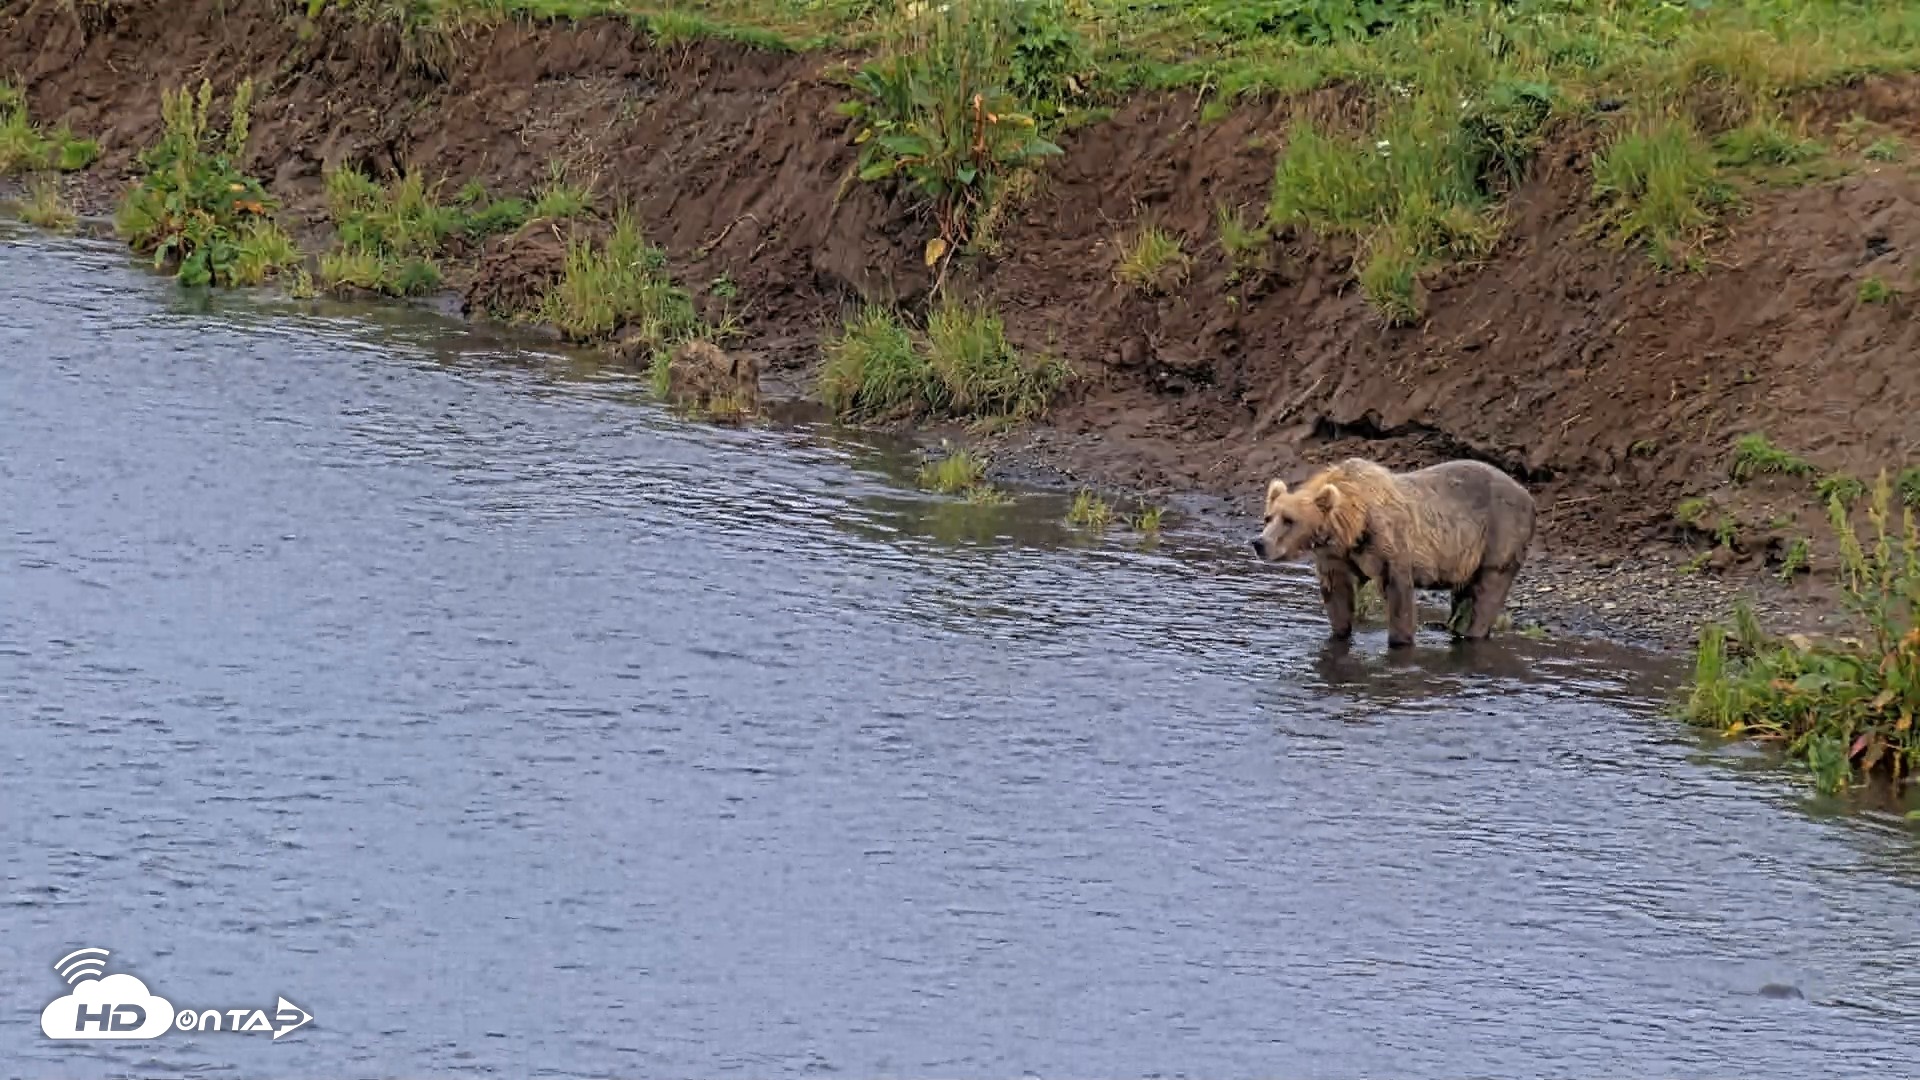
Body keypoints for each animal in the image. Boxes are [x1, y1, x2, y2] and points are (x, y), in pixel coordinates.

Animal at [1249, 457, 1535, 647]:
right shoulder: (1336, 556)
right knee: (1464, 595)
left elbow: (1399, 595)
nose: (1259, 542)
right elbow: (1338, 597)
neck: (1352, 524)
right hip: (1467, 556)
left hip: (1499, 534)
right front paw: (1339, 633)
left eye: (1289, 520)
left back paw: (1471, 633)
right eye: (1268, 517)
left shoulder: (1387, 544)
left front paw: (1401, 641)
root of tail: (1529, 495)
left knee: (1487, 592)